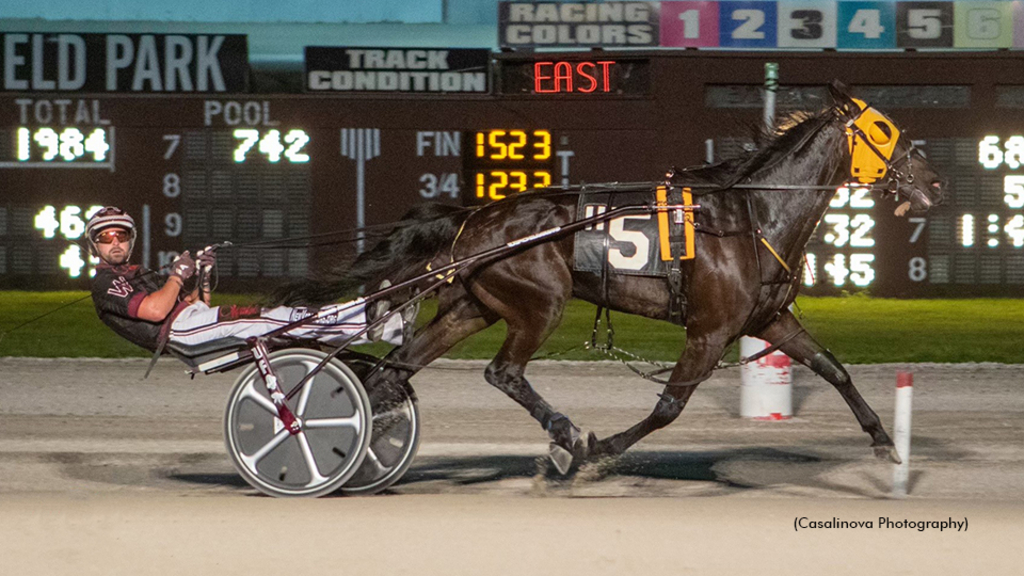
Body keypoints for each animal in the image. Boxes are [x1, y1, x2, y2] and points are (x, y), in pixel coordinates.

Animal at [274, 83, 942, 473]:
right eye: (885, 131)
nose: (933, 181)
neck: (750, 215)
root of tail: (473, 216)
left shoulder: (770, 319)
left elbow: (834, 368)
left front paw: (884, 442)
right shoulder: (710, 329)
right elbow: (670, 406)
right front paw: (598, 451)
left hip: (474, 305)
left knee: (396, 370)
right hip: (541, 301)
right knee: (501, 372)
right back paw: (566, 436)